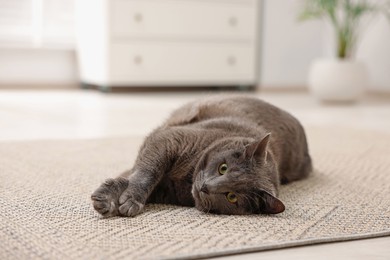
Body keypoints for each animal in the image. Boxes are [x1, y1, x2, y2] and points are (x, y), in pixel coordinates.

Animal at [90, 96, 310, 216]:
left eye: (232, 197)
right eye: (223, 168)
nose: (205, 187)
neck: (187, 179)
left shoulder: (166, 190)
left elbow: (139, 176)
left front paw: (117, 199)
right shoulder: (170, 138)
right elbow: (145, 172)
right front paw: (112, 196)